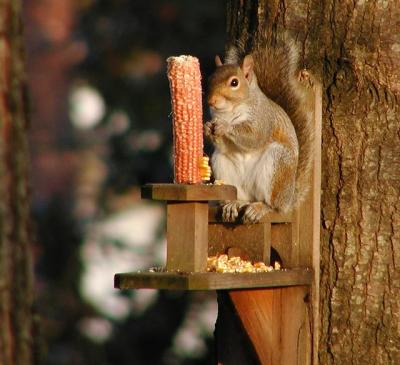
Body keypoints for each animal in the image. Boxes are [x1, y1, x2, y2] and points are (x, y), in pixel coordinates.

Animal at [205, 34, 314, 222]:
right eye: (210, 79)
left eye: (234, 82)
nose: (211, 101)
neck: (230, 110)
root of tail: (288, 199)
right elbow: (225, 145)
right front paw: (207, 128)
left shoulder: (263, 120)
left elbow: (253, 137)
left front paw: (225, 127)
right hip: (222, 165)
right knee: (242, 198)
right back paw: (233, 204)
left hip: (277, 163)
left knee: (273, 205)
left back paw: (260, 208)